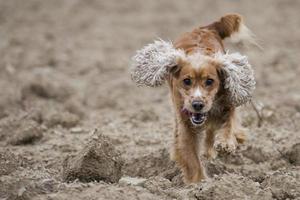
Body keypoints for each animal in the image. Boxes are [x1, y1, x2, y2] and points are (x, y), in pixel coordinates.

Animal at [131, 13, 255, 184]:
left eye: (210, 81)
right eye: (186, 81)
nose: (197, 104)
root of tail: (204, 28)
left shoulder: (227, 104)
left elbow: (229, 123)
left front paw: (225, 143)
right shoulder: (185, 122)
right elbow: (191, 158)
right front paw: (199, 183)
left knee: (211, 130)